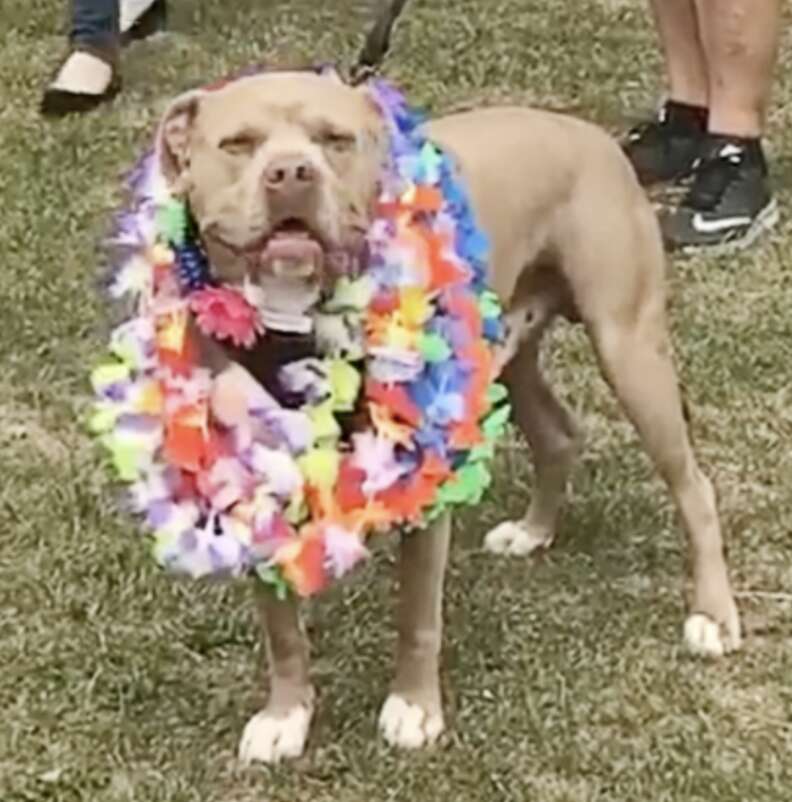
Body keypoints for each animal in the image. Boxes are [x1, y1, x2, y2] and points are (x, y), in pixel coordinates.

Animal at [155, 70, 744, 764]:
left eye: (335, 140)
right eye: (239, 144)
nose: (292, 172)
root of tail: (590, 134)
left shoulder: (423, 481)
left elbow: (418, 614)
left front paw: (414, 709)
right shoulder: (255, 479)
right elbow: (281, 628)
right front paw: (286, 715)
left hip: (627, 345)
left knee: (693, 486)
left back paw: (712, 616)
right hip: (509, 355)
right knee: (559, 434)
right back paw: (533, 531)